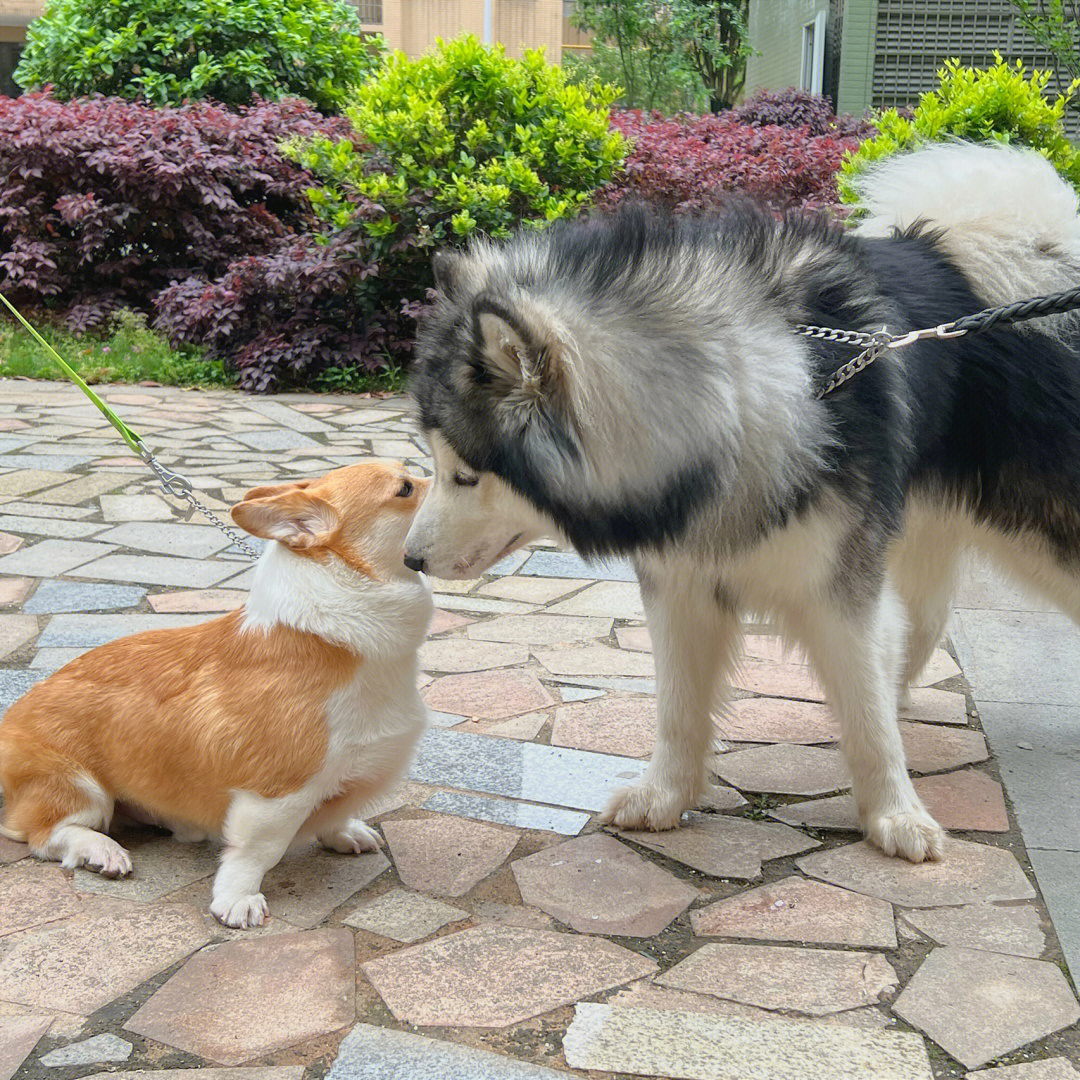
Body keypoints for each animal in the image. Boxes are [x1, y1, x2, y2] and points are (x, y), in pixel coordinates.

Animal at [0, 464, 429, 928]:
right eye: (405, 488)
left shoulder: (352, 771)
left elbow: (334, 813)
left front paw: (344, 832)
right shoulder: (275, 794)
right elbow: (256, 852)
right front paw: (238, 899)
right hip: (80, 787)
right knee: (44, 834)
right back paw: (102, 850)